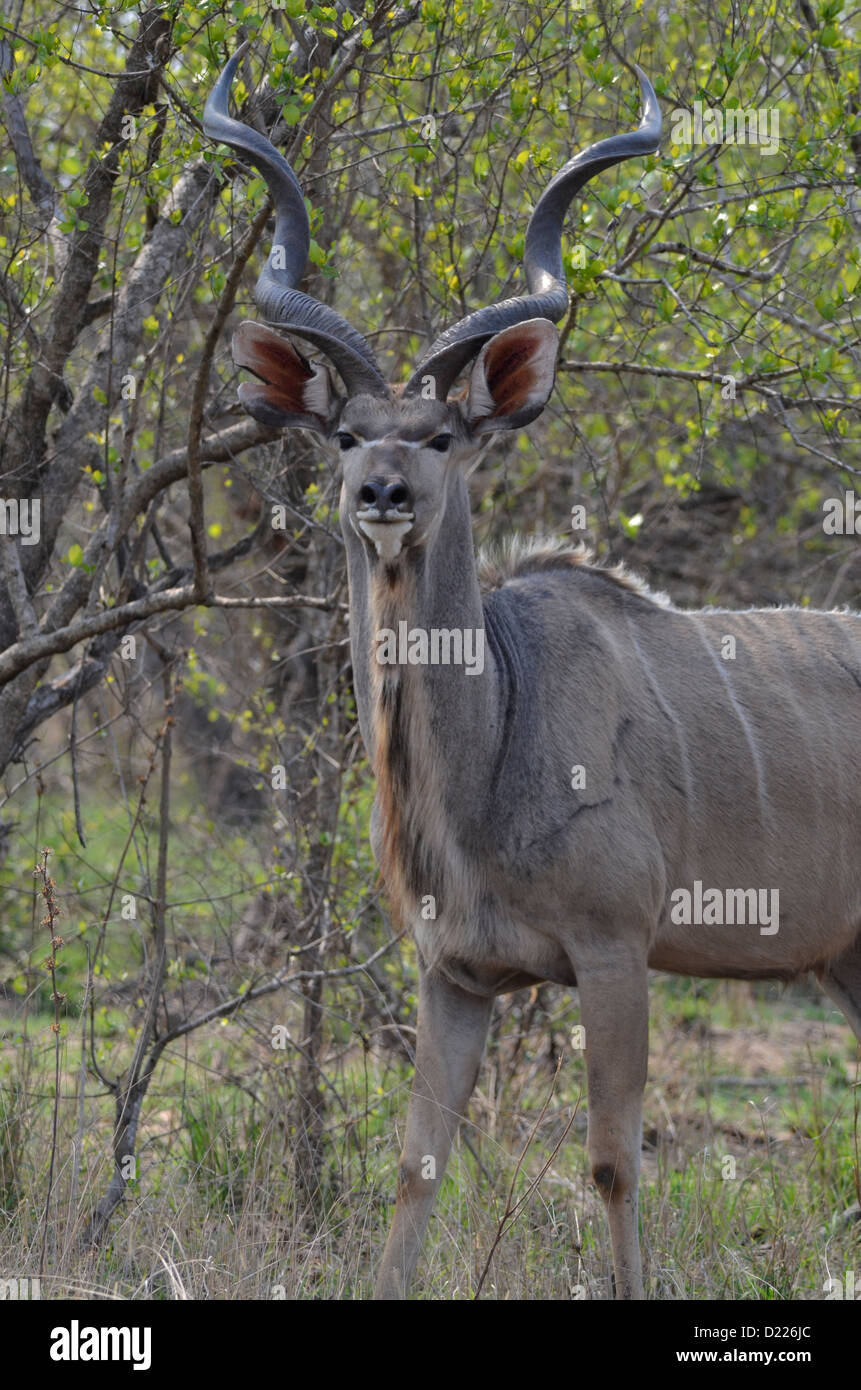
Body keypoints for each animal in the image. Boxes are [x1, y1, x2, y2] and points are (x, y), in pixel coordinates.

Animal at [205, 46, 861, 1301]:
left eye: (443, 436)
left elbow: (612, 1160)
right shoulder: (456, 976)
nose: (383, 495)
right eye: (345, 434)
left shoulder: (614, 950)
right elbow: (415, 1163)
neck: (493, 737)